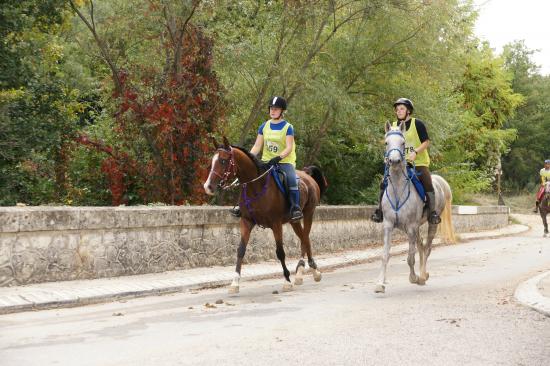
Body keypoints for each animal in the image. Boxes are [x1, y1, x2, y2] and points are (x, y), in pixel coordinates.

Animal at [206, 136, 328, 294]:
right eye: (213, 161)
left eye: (223, 161)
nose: (208, 187)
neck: (255, 186)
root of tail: (307, 175)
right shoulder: (246, 221)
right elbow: (240, 250)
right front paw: (234, 283)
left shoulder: (276, 224)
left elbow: (280, 252)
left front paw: (287, 281)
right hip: (294, 221)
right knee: (303, 238)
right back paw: (300, 273)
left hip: (308, 214)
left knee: (306, 238)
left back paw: (313, 271)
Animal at [378, 121, 460, 294]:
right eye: (386, 142)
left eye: (403, 143)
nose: (394, 161)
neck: (398, 189)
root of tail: (439, 181)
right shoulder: (388, 225)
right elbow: (385, 255)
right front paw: (379, 284)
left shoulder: (411, 227)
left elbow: (410, 257)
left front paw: (414, 278)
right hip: (413, 228)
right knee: (421, 246)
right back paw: (423, 275)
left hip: (429, 224)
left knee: (427, 248)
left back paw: (422, 277)